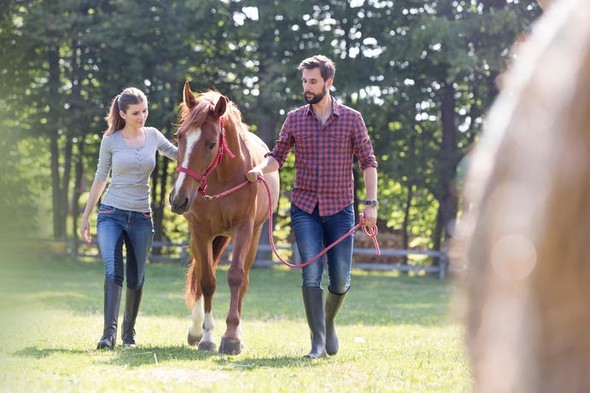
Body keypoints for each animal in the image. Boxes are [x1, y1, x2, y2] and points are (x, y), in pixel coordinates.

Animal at [170, 81, 280, 354]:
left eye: (211, 144)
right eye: (180, 137)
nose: (178, 199)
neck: (222, 178)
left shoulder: (243, 228)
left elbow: (236, 277)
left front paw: (230, 337)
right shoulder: (200, 231)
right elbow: (206, 280)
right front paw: (206, 336)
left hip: (252, 236)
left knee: (244, 280)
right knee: (200, 274)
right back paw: (196, 330)